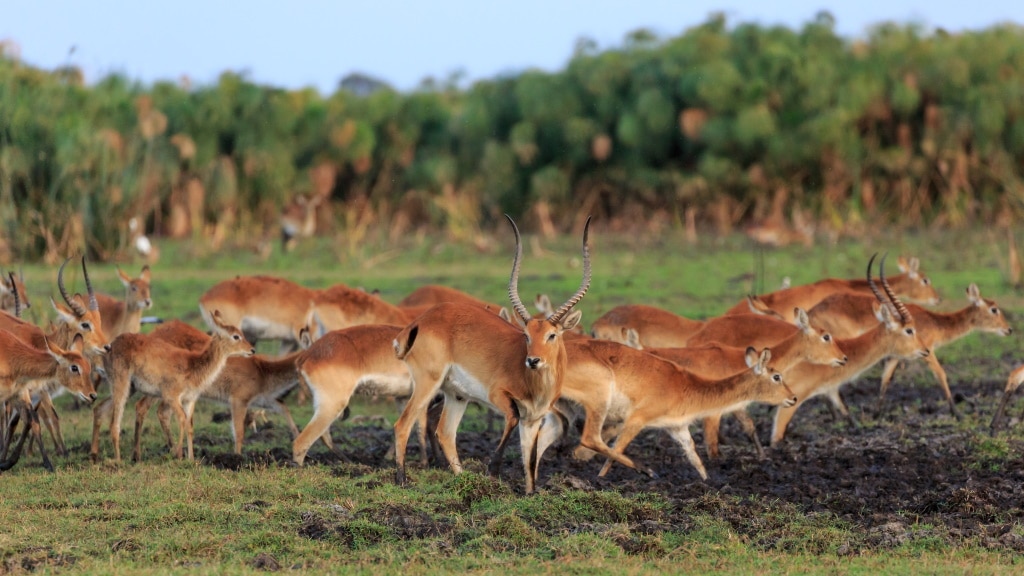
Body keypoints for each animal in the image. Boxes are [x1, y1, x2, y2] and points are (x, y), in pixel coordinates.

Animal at [91, 307, 254, 459]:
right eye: (236, 336)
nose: (252, 349)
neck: (193, 366)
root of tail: (110, 346)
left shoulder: (190, 400)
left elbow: (189, 426)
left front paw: (191, 459)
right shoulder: (171, 396)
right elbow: (181, 420)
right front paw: (179, 455)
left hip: (129, 388)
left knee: (100, 408)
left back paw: (95, 455)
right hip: (121, 383)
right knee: (114, 423)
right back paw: (118, 460)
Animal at [389, 215, 593, 494]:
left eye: (552, 335)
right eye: (526, 335)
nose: (533, 360)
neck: (535, 384)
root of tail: (421, 321)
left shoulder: (534, 419)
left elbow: (530, 460)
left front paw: (530, 493)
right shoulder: (500, 397)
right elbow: (512, 419)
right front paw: (493, 471)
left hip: (457, 395)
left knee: (445, 432)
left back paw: (463, 480)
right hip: (428, 383)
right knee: (404, 424)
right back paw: (402, 480)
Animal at [765, 254, 933, 444]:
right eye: (909, 330)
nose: (925, 350)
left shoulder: (831, 390)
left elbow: (847, 414)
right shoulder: (792, 401)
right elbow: (776, 438)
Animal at [806, 280, 1015, 414]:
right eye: (994, 309)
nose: (1009, 329)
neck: (935, 322)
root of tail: (811, 312)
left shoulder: (895, 356)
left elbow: (886, 379)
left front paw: (876, 414)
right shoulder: (927, 351)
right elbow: (941, 374)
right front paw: (957, 413)